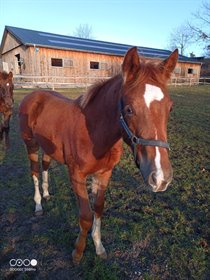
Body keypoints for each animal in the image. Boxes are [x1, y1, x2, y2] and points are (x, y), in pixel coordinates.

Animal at [18, 47, 178, 264]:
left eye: (170, 107)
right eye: (129, 109)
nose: (160, 178)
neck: (93, 132)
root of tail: (33, 94)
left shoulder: (103, 173)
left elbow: (99, 209)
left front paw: (99, 247)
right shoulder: (76, 176)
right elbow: (86, 216)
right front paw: (77, 252)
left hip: (48, 148)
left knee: (45, 166)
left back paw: (47, 195)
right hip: (31, 145)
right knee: (34, 171)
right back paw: (38, 205)